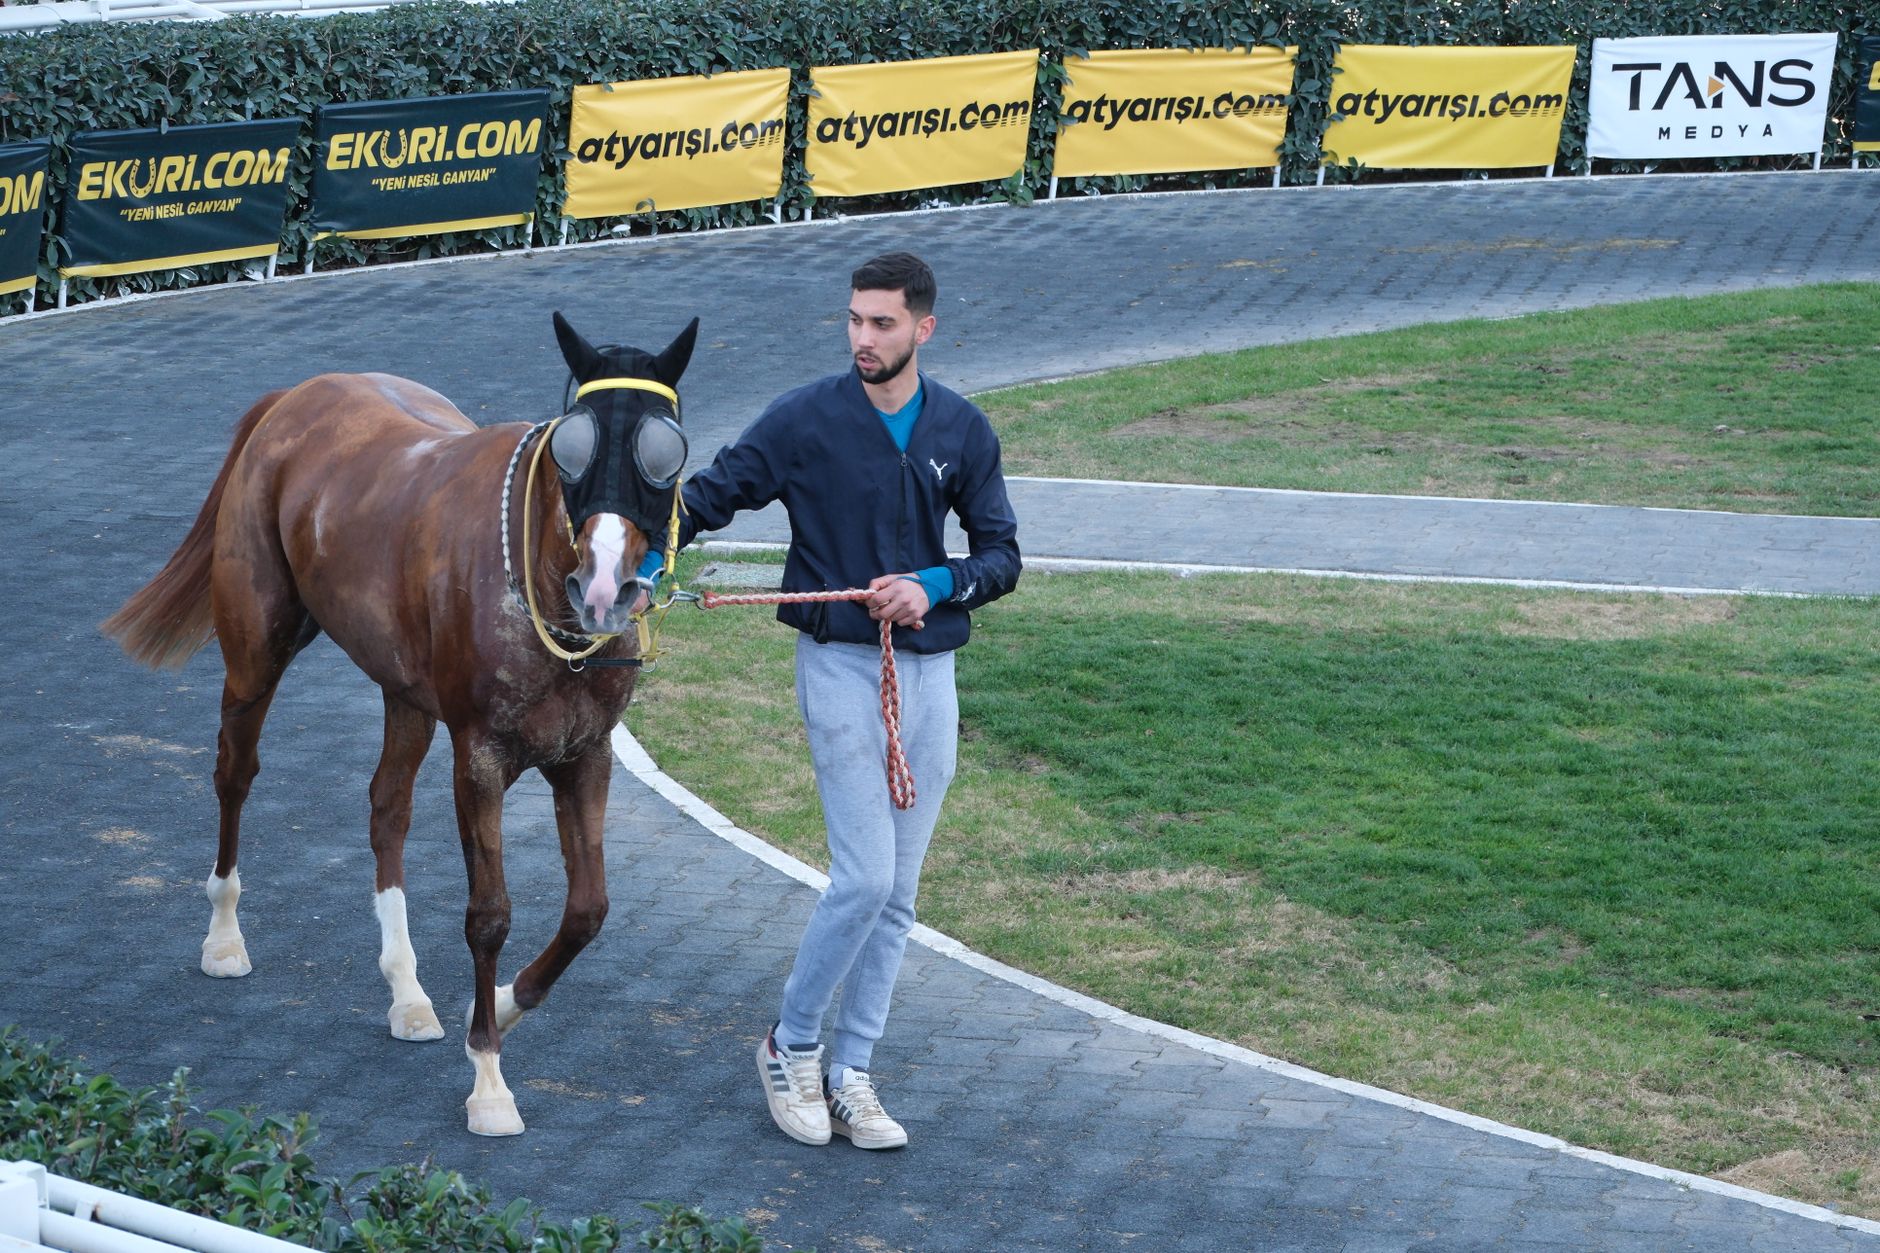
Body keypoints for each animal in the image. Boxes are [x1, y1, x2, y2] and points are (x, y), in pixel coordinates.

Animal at [100, 312, 698, 1136]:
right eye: (573, 447)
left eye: (664, 450)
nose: (603, 587)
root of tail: (297, 397)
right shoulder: (479, 757)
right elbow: (488, 914)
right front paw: (489, 1079)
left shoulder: (585, 755)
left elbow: (588, 910)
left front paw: (505, 1002)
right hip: (257, 648)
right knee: (234, 770)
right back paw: (223, 935)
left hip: (404, 694)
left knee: (387, 807)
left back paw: (407, 993)